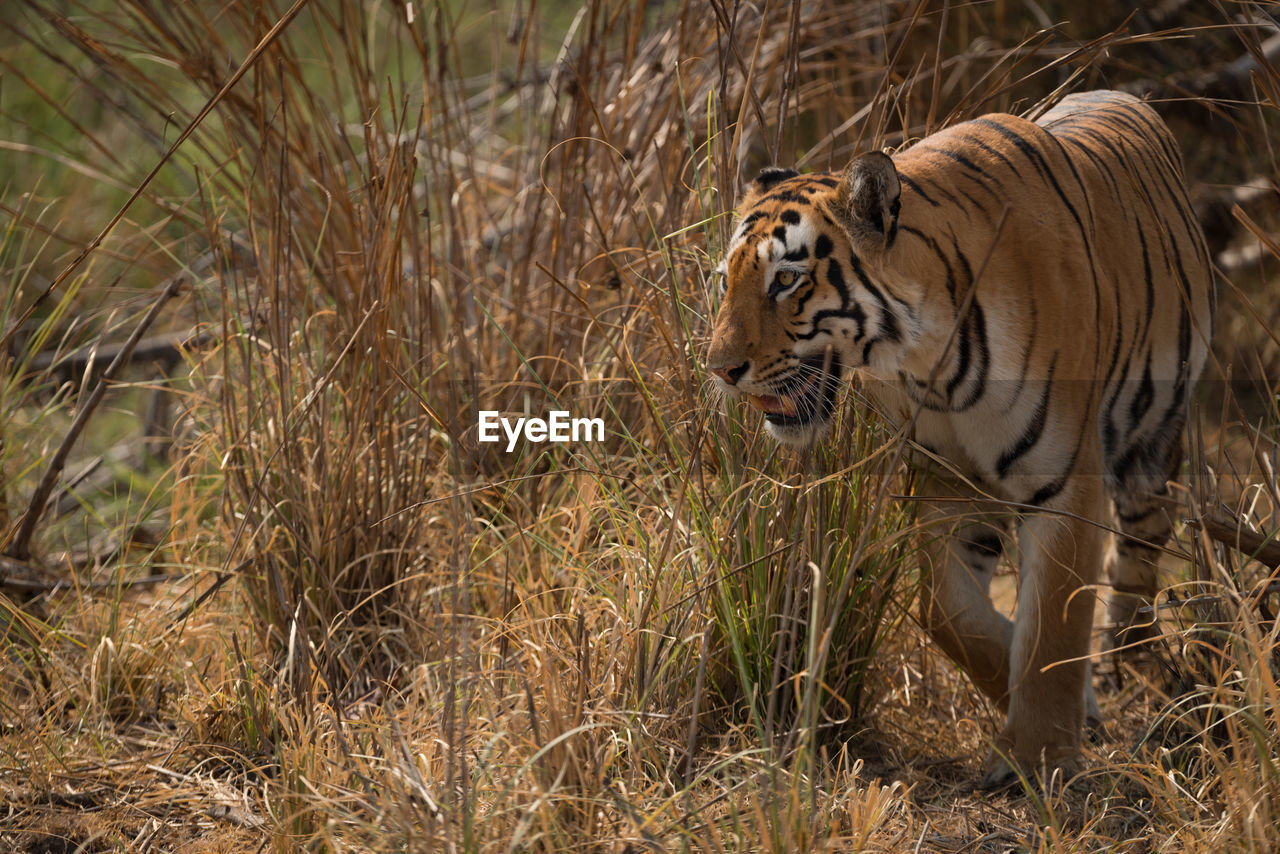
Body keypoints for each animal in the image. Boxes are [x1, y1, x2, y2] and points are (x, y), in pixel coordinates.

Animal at [706, 92, 1213, 788]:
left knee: (1134, 560)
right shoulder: (947, 482)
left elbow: (1052, 631)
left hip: (1151, 445)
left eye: (786, 280)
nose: (718, 368)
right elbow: (948, 614)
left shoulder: (1062, 483)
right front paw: (1046, 708)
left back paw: (1129, 657)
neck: (923, 361)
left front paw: (1036, 758)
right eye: (724, 280)